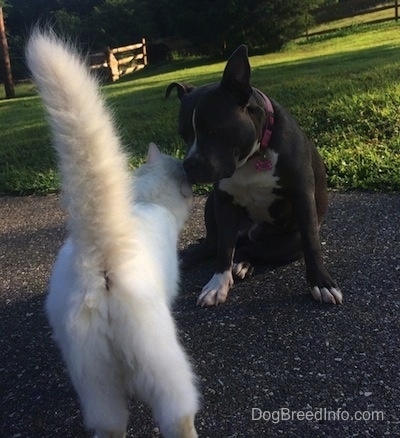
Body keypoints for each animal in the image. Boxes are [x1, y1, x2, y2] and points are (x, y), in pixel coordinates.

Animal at [26, 29, 198, 436]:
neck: (144, 199)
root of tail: (102, 257)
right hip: (163, 365)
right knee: (178, 416)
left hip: (94, 381)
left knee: (109, 425)